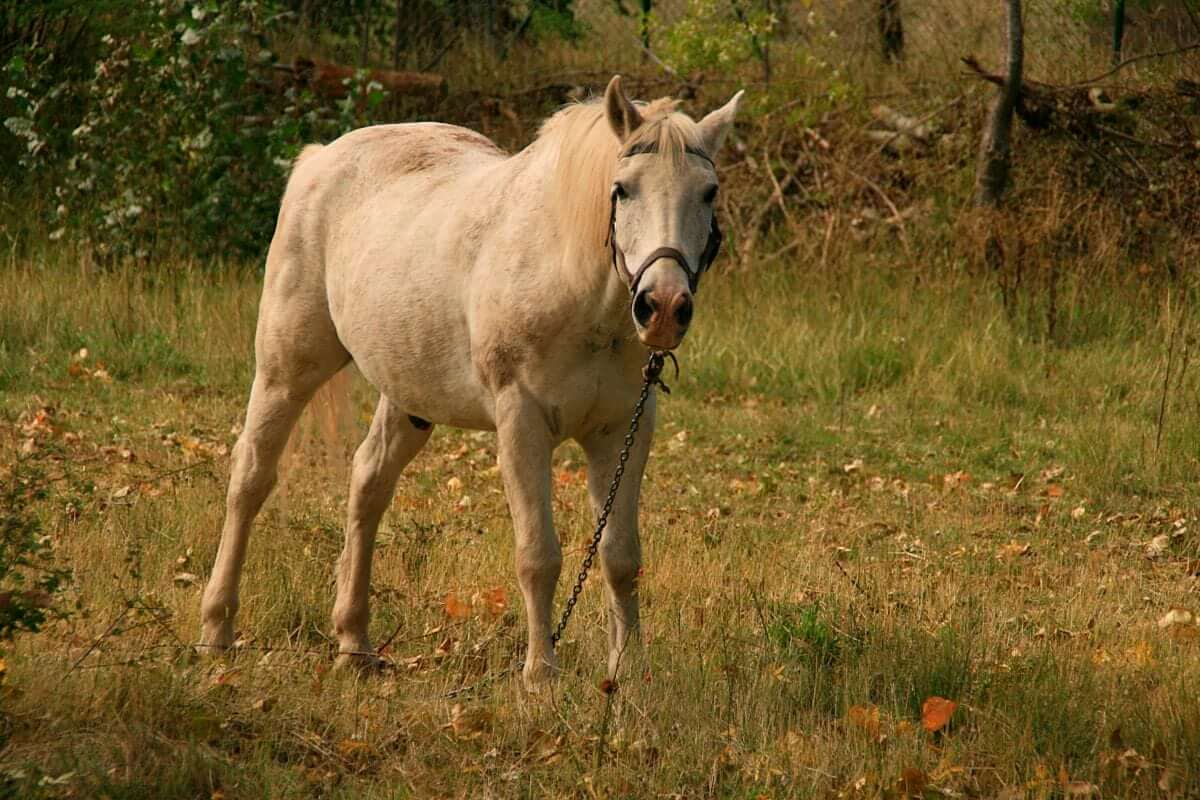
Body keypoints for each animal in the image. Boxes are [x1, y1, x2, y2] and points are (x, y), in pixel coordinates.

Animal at [199, 76, 743, 688]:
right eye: (622, 190)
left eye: (708, 193)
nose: (664, 307)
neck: (570, 280)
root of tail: (319, 160)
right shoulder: (521, 425)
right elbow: (538, 556)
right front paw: (540, 676)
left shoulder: (623, 429)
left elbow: (620, 557)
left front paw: (626, 676)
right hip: (286, 368)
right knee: (250, 478)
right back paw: (217, 629)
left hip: (406, 394)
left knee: (368, 485)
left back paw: (354, 642)